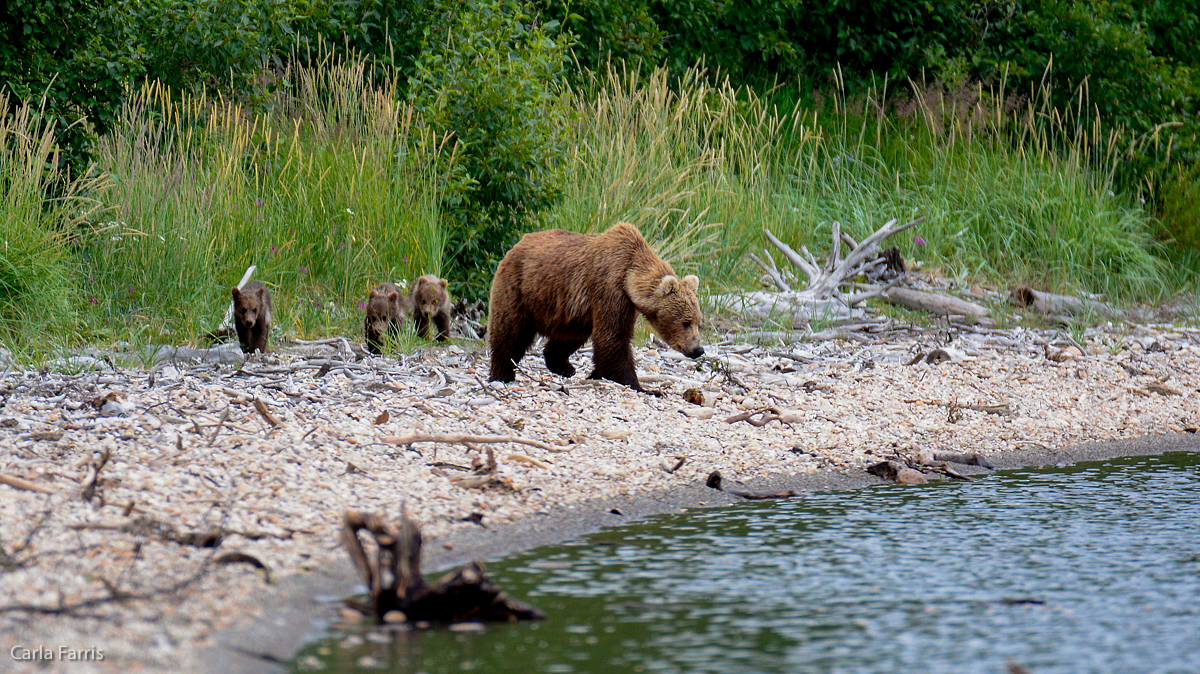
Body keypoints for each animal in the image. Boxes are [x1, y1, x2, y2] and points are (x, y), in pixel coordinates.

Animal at [487, 221, 700, 388]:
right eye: (685, 322)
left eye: (699, 322)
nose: (699, 350)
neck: (629, 275)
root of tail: (517, 244)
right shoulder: (610, 286)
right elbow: (613, 337)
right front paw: (642, 386)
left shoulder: (623, 302)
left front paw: (596, 374)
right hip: (519, 288)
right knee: (510, 332)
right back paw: (502, 374)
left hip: (569, 308)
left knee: (570, 334)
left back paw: (563, 366)